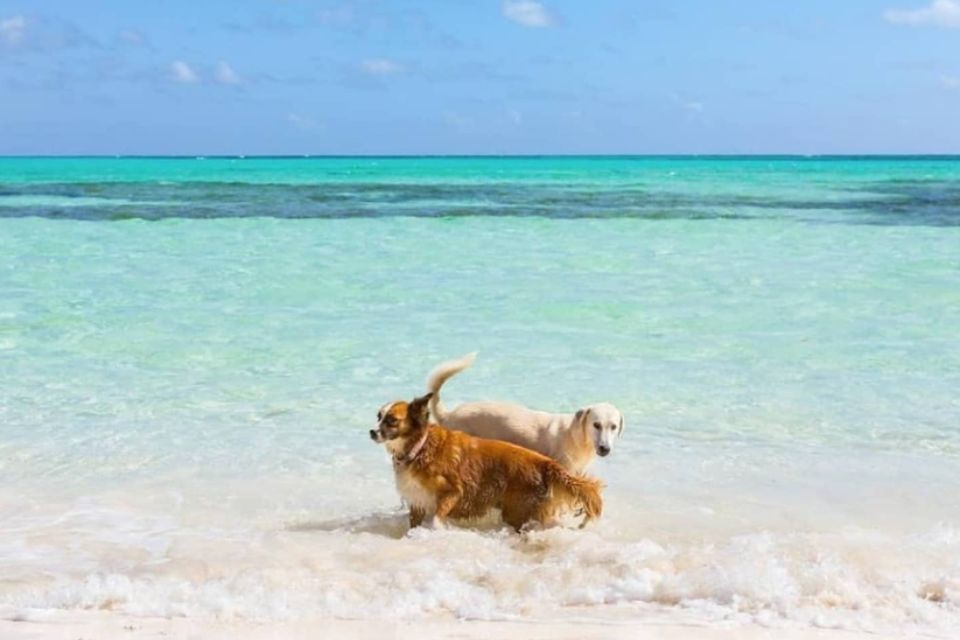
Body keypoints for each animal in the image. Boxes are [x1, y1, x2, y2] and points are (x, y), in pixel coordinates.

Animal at [370, 392, 600, 532]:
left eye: (391, 420)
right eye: (378, 416)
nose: (372, 431)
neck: (419, 447)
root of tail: (545, 463)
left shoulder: (453, 491)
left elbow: (437, 517)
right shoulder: (418, 501)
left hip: (517, 510)